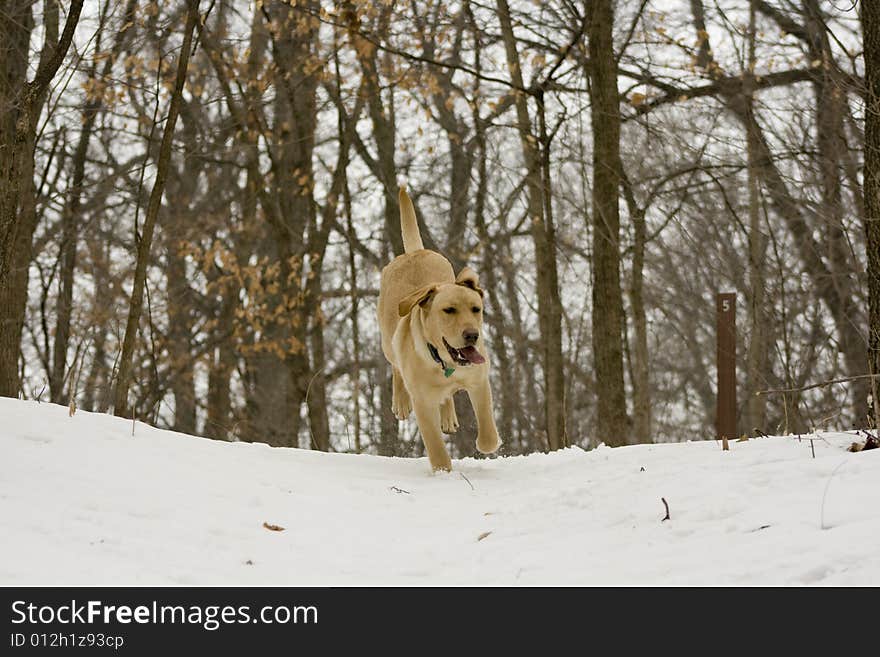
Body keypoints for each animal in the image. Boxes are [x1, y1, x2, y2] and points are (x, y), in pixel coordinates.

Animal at [378, 190, 502, 472]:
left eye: (476, 309)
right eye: (449, 310)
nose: (472, 335)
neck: (443, 362)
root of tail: (414, 251)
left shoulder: (479, 380)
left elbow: (488, 431)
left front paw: (486, 444)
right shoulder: (423, 402)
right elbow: (435, 446)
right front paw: (444, 472)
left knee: (447, 396)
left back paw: (448, 416)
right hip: (388, 342)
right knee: (395, 366)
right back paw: (401, 402)